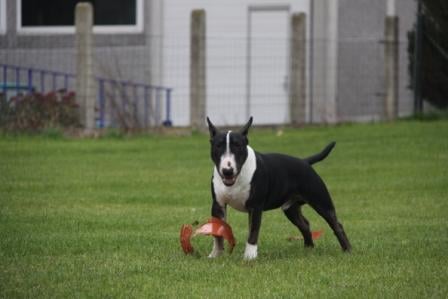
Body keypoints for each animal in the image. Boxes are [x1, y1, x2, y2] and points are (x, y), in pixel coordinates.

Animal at [206, 117, 350, 260]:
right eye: (218, 146)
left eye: (238, 146)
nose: (227, 171)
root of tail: (305, 161)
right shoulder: (218, 205)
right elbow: (217, 232)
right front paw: (216, 254)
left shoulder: (255, 207)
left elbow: (253, 231)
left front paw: (250, 256)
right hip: (291, 208)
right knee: (304, 224)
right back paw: (308, 248)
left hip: (320, 201)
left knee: (336, 224)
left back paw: (347, 250)